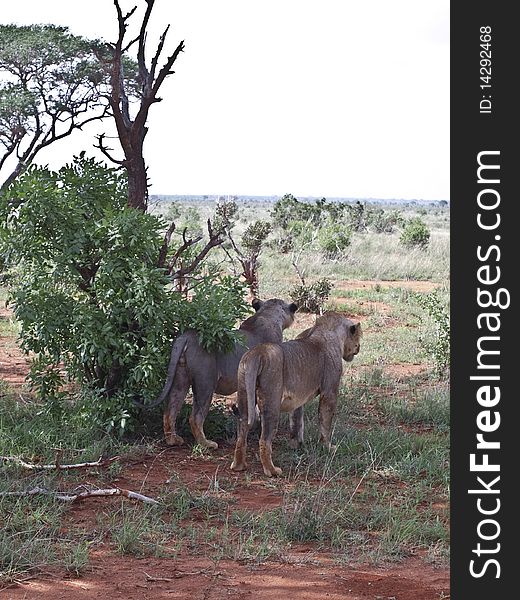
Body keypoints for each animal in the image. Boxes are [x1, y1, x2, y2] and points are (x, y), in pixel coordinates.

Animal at [146, 298, 296, 448]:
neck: (268, 314)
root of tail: (186, 336)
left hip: (180, 378)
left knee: (170, 411)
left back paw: (173, 440)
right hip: (206, 382)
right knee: (195, 417)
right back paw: (206, 443)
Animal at [232, 314, 362, 478]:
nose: (359, 347)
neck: (328, 330)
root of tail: (257, 353)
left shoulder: (298, 399)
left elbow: (296, 421)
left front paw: (297, 445)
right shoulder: (330, 392)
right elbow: (325, 422)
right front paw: (328, 447)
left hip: (244, 395)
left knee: (241, 432)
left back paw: (239, 466)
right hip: (271, 403)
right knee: (264, 440)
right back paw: (272, 471)